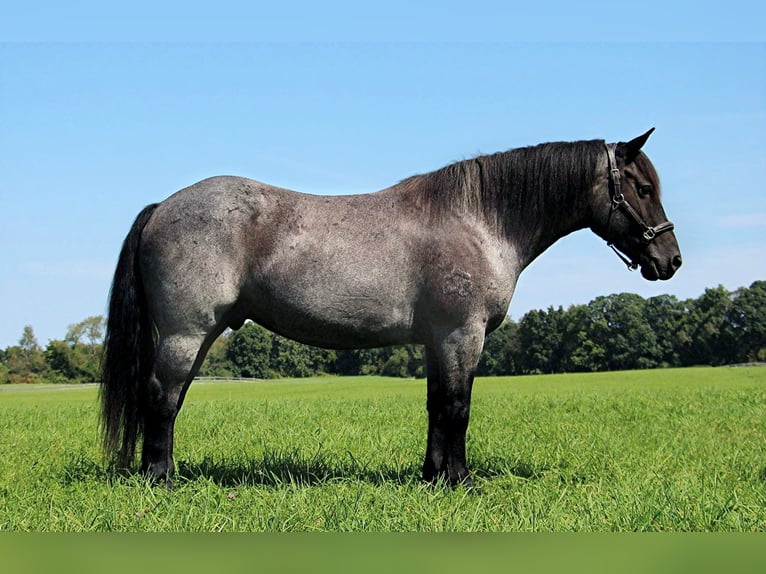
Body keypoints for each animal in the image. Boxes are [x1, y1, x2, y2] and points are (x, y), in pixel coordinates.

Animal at [100, 129, 684, 486]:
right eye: (641, 187)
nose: (670, 259)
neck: (478, 220)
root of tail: (163, 207)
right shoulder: (461, 335)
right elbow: (457, 408)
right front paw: (460, 482)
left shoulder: (437, 341)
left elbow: (436, 406)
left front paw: (432, 477)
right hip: (187, 332)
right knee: (162, 398)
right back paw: (160, 480)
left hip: (201, 334)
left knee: (171, 400)